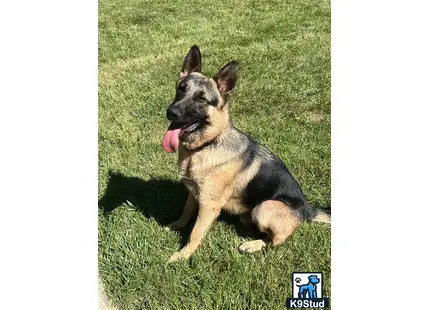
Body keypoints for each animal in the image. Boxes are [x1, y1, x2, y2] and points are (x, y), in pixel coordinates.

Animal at [161, 46, 330, 262]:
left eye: (201, 99)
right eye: (181, 88)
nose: (171, 112)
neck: (207, 145)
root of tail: (306, 211)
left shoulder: (208, 205)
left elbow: (196, 232)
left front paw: (183, 254)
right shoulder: (193, 192)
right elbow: (186, 210)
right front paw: (177, 225)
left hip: (264, 207)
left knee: (276, 241)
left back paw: (254, 244)